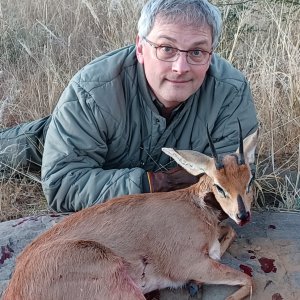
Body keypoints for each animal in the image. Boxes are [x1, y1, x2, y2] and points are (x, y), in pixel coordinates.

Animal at [1, 123, 258, 300]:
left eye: (249, 179)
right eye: (218, 186)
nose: (243, 216)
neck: (195, 206)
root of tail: (15, 287)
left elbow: (229, 235)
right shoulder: (191, 264)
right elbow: (248, 279)